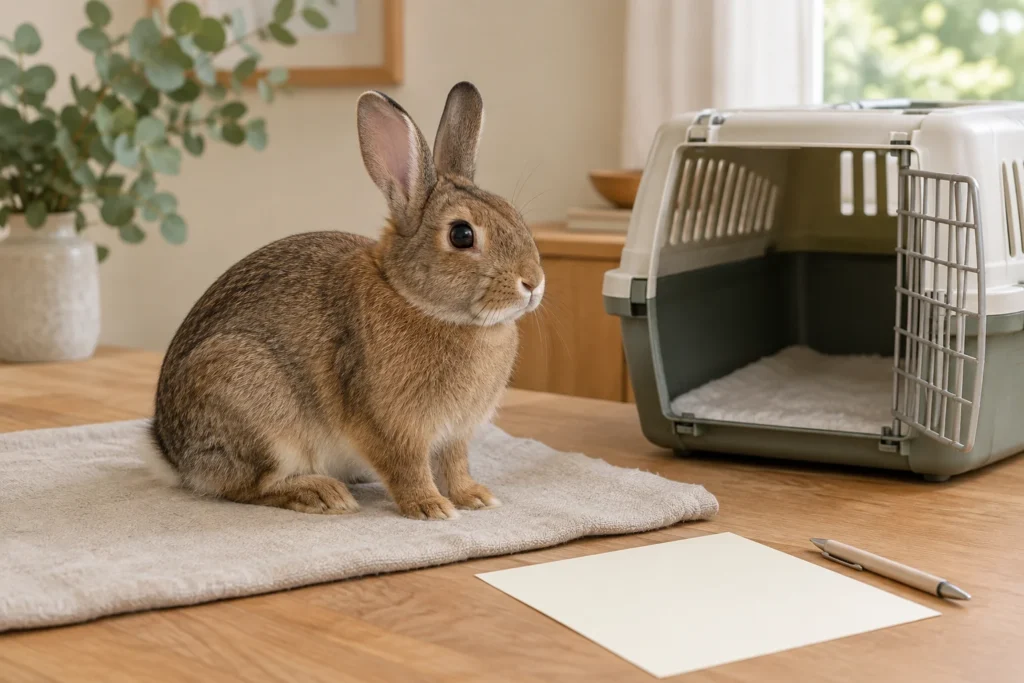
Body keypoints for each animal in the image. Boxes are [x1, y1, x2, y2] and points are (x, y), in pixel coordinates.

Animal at [146, 82, 545, 520]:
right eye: (461, 235)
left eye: (514, 215)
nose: (533, 283)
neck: (415, 299)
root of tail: (173, 455)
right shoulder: (389, 426)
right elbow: (407, 468)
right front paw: (430, 507)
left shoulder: (455, 434)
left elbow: (455, 465)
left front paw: (475, 496)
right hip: (252, 403)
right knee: (248, 486)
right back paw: (321, 493)